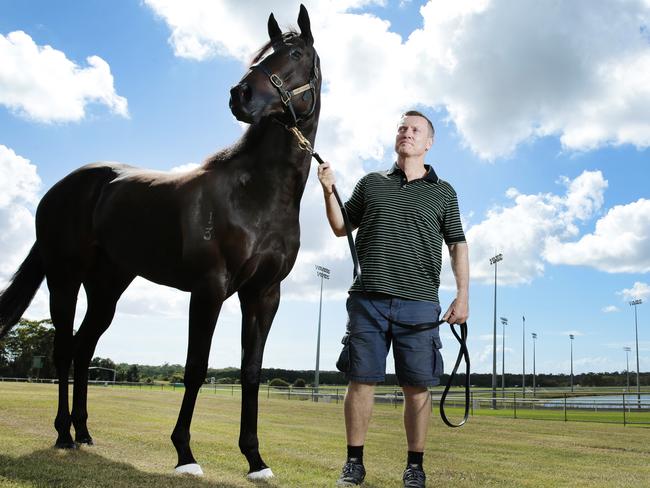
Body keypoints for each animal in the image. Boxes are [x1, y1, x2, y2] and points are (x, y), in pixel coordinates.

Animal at [0, 3, 318, 478]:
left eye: (295, 53)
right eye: (262, 55)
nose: (239, 95)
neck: (257, 194)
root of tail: (60, 188)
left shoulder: (263, 294)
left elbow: (251, 371)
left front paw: (255, 459)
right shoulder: (209, 290)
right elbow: (196, 368)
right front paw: (185, 454)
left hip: (107, 288)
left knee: (83, 348)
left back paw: (83, 432)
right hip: (65, 278)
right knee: (63, 349)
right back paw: (62, 435)